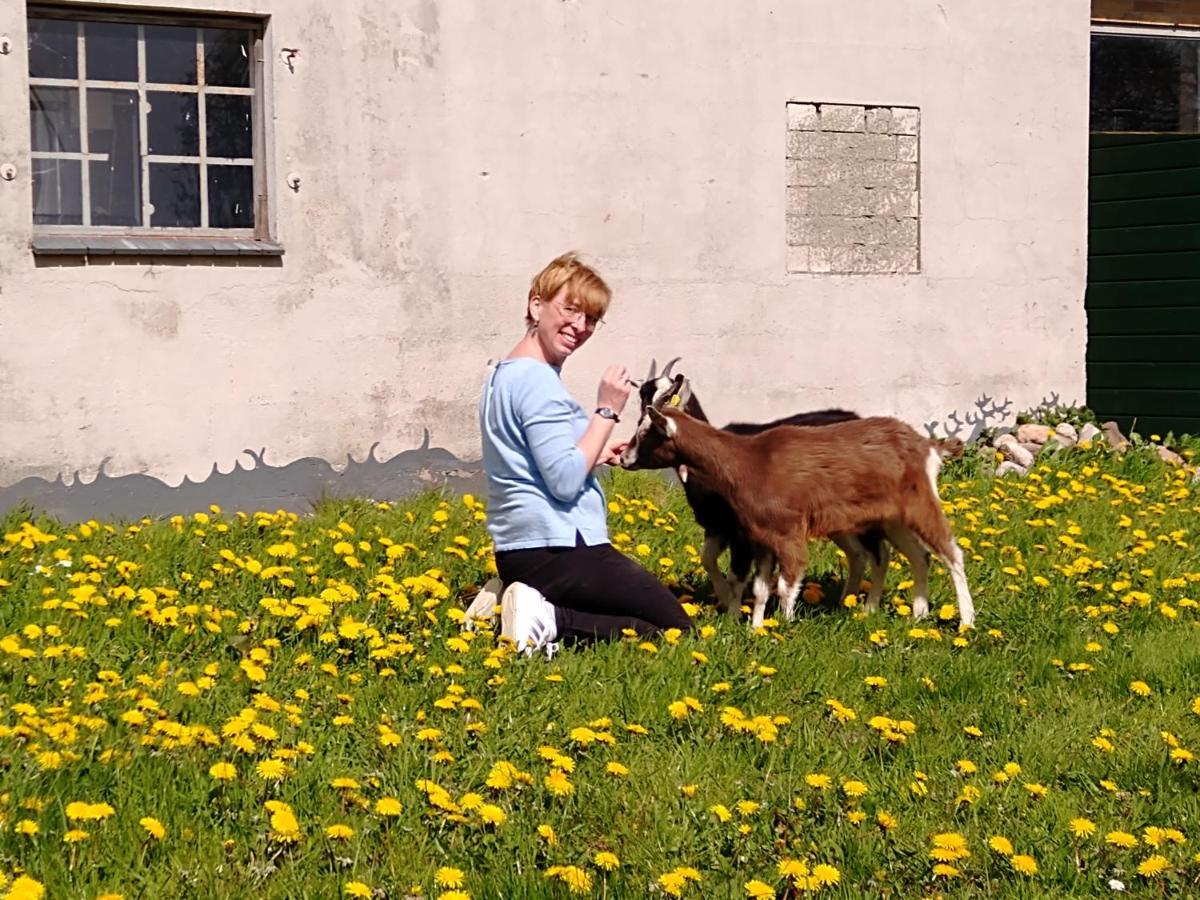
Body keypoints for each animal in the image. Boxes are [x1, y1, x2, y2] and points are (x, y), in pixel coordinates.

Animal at [633, 362, 888, 619]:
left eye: (667, 398)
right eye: (641, 396)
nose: (639, 430)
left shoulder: (741, 531)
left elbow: (736, 575)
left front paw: (733, 615)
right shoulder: (717, 525)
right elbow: (707, 559)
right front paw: (724, 600)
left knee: (879, 554)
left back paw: (868, 609)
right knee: (857, 555)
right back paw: (846, 602)